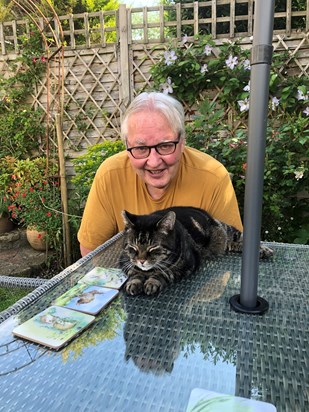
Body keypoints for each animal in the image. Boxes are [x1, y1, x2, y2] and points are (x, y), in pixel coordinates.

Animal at [118, 206, 272, 296]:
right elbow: (134, 271)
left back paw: (264, 250)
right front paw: (134, 282)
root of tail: (204, 212)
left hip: (225, 231)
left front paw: (152, 281)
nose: (141, 260)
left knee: (240, 236)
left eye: (153, 248)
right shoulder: (124, 260)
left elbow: (165, 272)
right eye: (133, 248)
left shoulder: (187, 265)